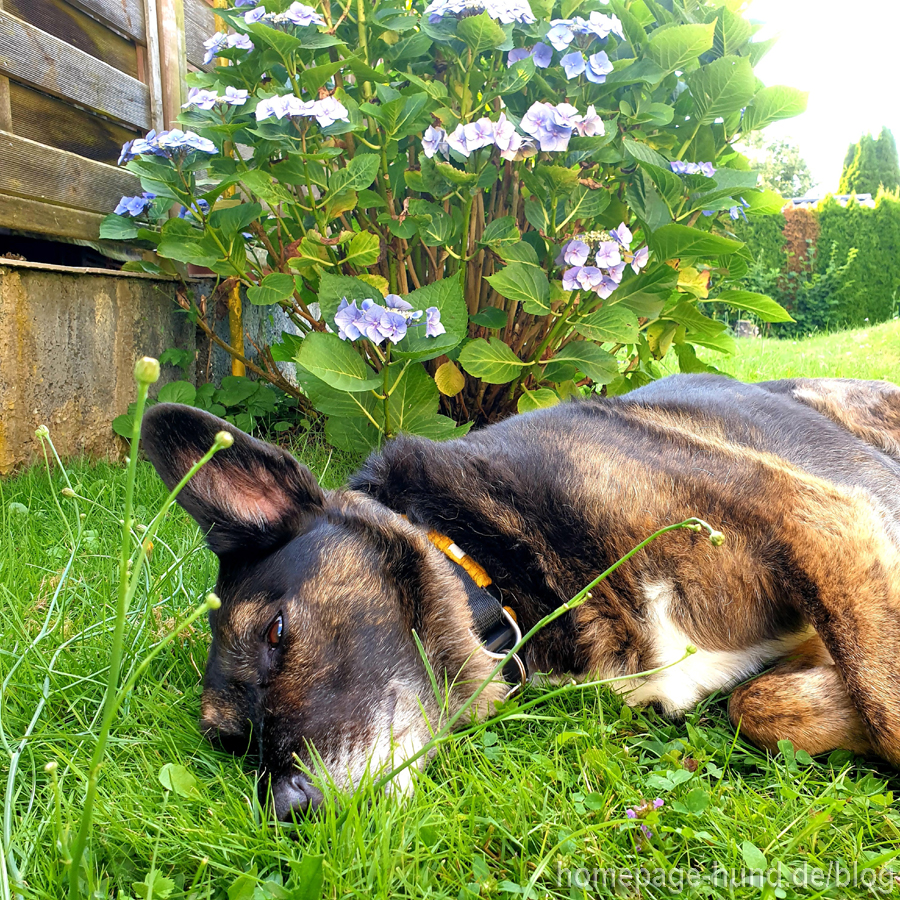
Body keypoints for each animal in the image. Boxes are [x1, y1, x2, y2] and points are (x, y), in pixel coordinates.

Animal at [141, 372, 900, 816]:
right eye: (234, 743)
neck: (486, 563)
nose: (288, 811)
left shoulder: (820, 521)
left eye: (275, 634)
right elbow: (763, 703)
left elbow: (876, 696)